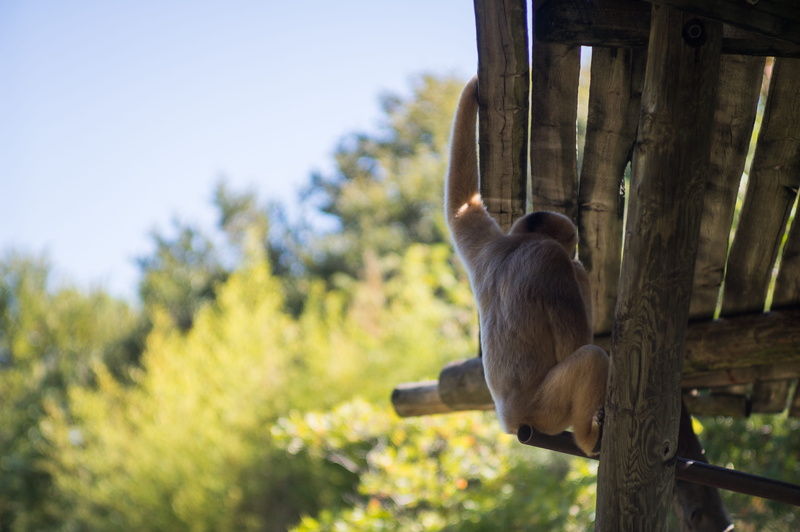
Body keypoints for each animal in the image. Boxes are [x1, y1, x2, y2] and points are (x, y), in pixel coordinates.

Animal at [445, 77, 609, 457]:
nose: (573, 247)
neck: (517, 243)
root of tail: (509, 419)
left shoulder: (486, 245)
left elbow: (460, 205)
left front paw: (471, 92)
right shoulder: (551, 259)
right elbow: (575, 343)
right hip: (545, 409)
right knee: (591, 357)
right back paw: (588, 438)